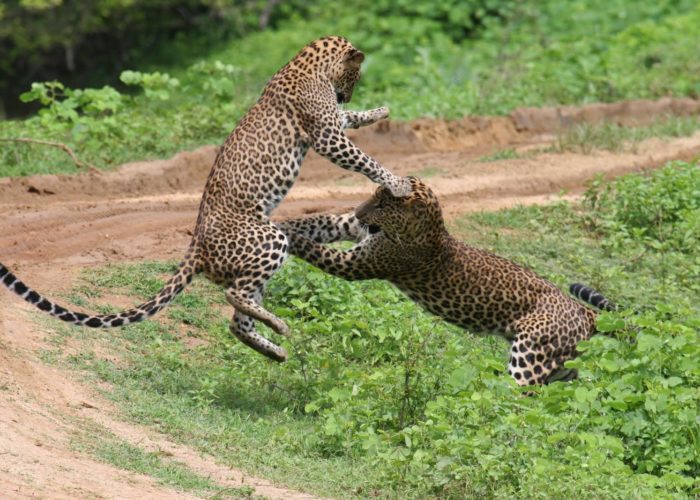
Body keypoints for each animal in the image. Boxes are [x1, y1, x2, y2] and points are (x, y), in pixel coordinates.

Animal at [0, 35, 411, 363]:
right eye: (354, 77)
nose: (347, 94)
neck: (307, 62)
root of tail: (197, 243)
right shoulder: (326, 136)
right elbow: (364, 159)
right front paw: (398, 184)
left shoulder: (332, 124)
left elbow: (350, 119)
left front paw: (379, 111)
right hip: (269, 240)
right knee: (234, 296)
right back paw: (279, 327)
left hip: (257, 259)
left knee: (237, 321)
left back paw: (275, 349)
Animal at [278, 177, 617, 386]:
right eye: (372, 197)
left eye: (383, 205)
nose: (360, 212)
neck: (429, 227)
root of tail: (583, 311)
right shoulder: (351, 228)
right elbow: (317, 222)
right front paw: (279, 222)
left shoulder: (358, 264)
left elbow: (313, 247)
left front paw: (285, 235)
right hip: (561, 365)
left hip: (531, 353)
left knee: (520, 394)